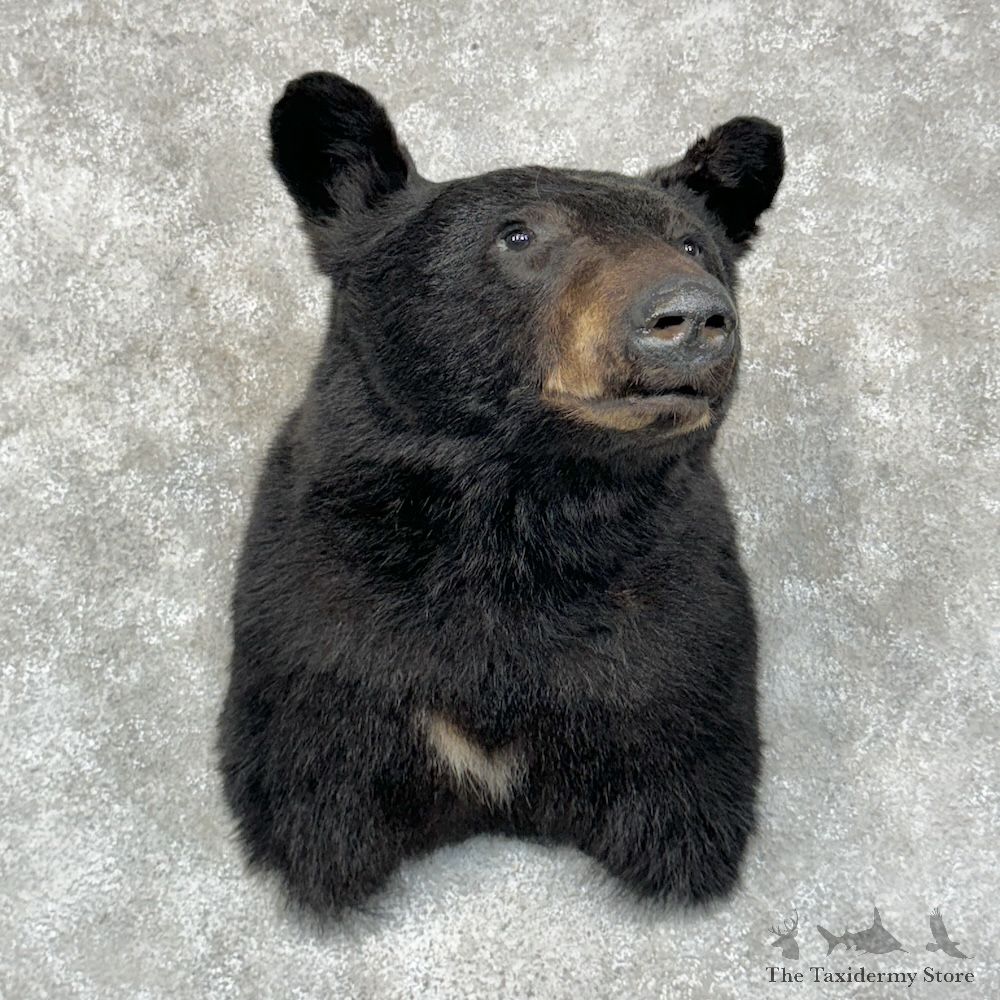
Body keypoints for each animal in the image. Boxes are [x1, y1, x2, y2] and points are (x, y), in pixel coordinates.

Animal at [217, 71, 784, 915]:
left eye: (691, 242)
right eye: (517, 236)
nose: (691, 316)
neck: (522, 506)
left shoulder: (680, 621)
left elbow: (679, 750)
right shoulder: (318, 615)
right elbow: (315, 765)